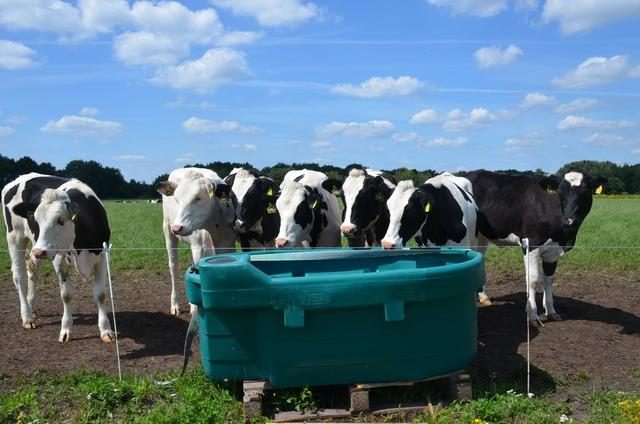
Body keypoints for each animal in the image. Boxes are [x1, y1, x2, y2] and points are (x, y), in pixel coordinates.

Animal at [1, 172, 114, 342]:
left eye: (61, 221)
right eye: (35, 220)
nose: (39, 251)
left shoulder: (102, 255)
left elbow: (100, 294)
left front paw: (106, 330)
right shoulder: (59, 259)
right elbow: (66, 295)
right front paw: (66, 329)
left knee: (32, 271)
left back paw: (32, 306)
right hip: (15, 238)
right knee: (19, 276)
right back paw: (27, 317)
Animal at [156, 167, 236, 314]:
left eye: (198, 197)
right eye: (177, 199)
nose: (177, 227)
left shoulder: (227, 246)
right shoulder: (199, 248)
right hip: (168, 231)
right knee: (173, 266)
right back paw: (175, 304)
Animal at [464, 169, 604, 324]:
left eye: (585, 192)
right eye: (560, 193)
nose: (568, 221)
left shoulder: (553, 251)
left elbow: (549, 279)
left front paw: (551, 311)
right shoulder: (531, 244)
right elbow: (532, 279)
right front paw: (532, 315)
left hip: (482, 236)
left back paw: (483, 297)